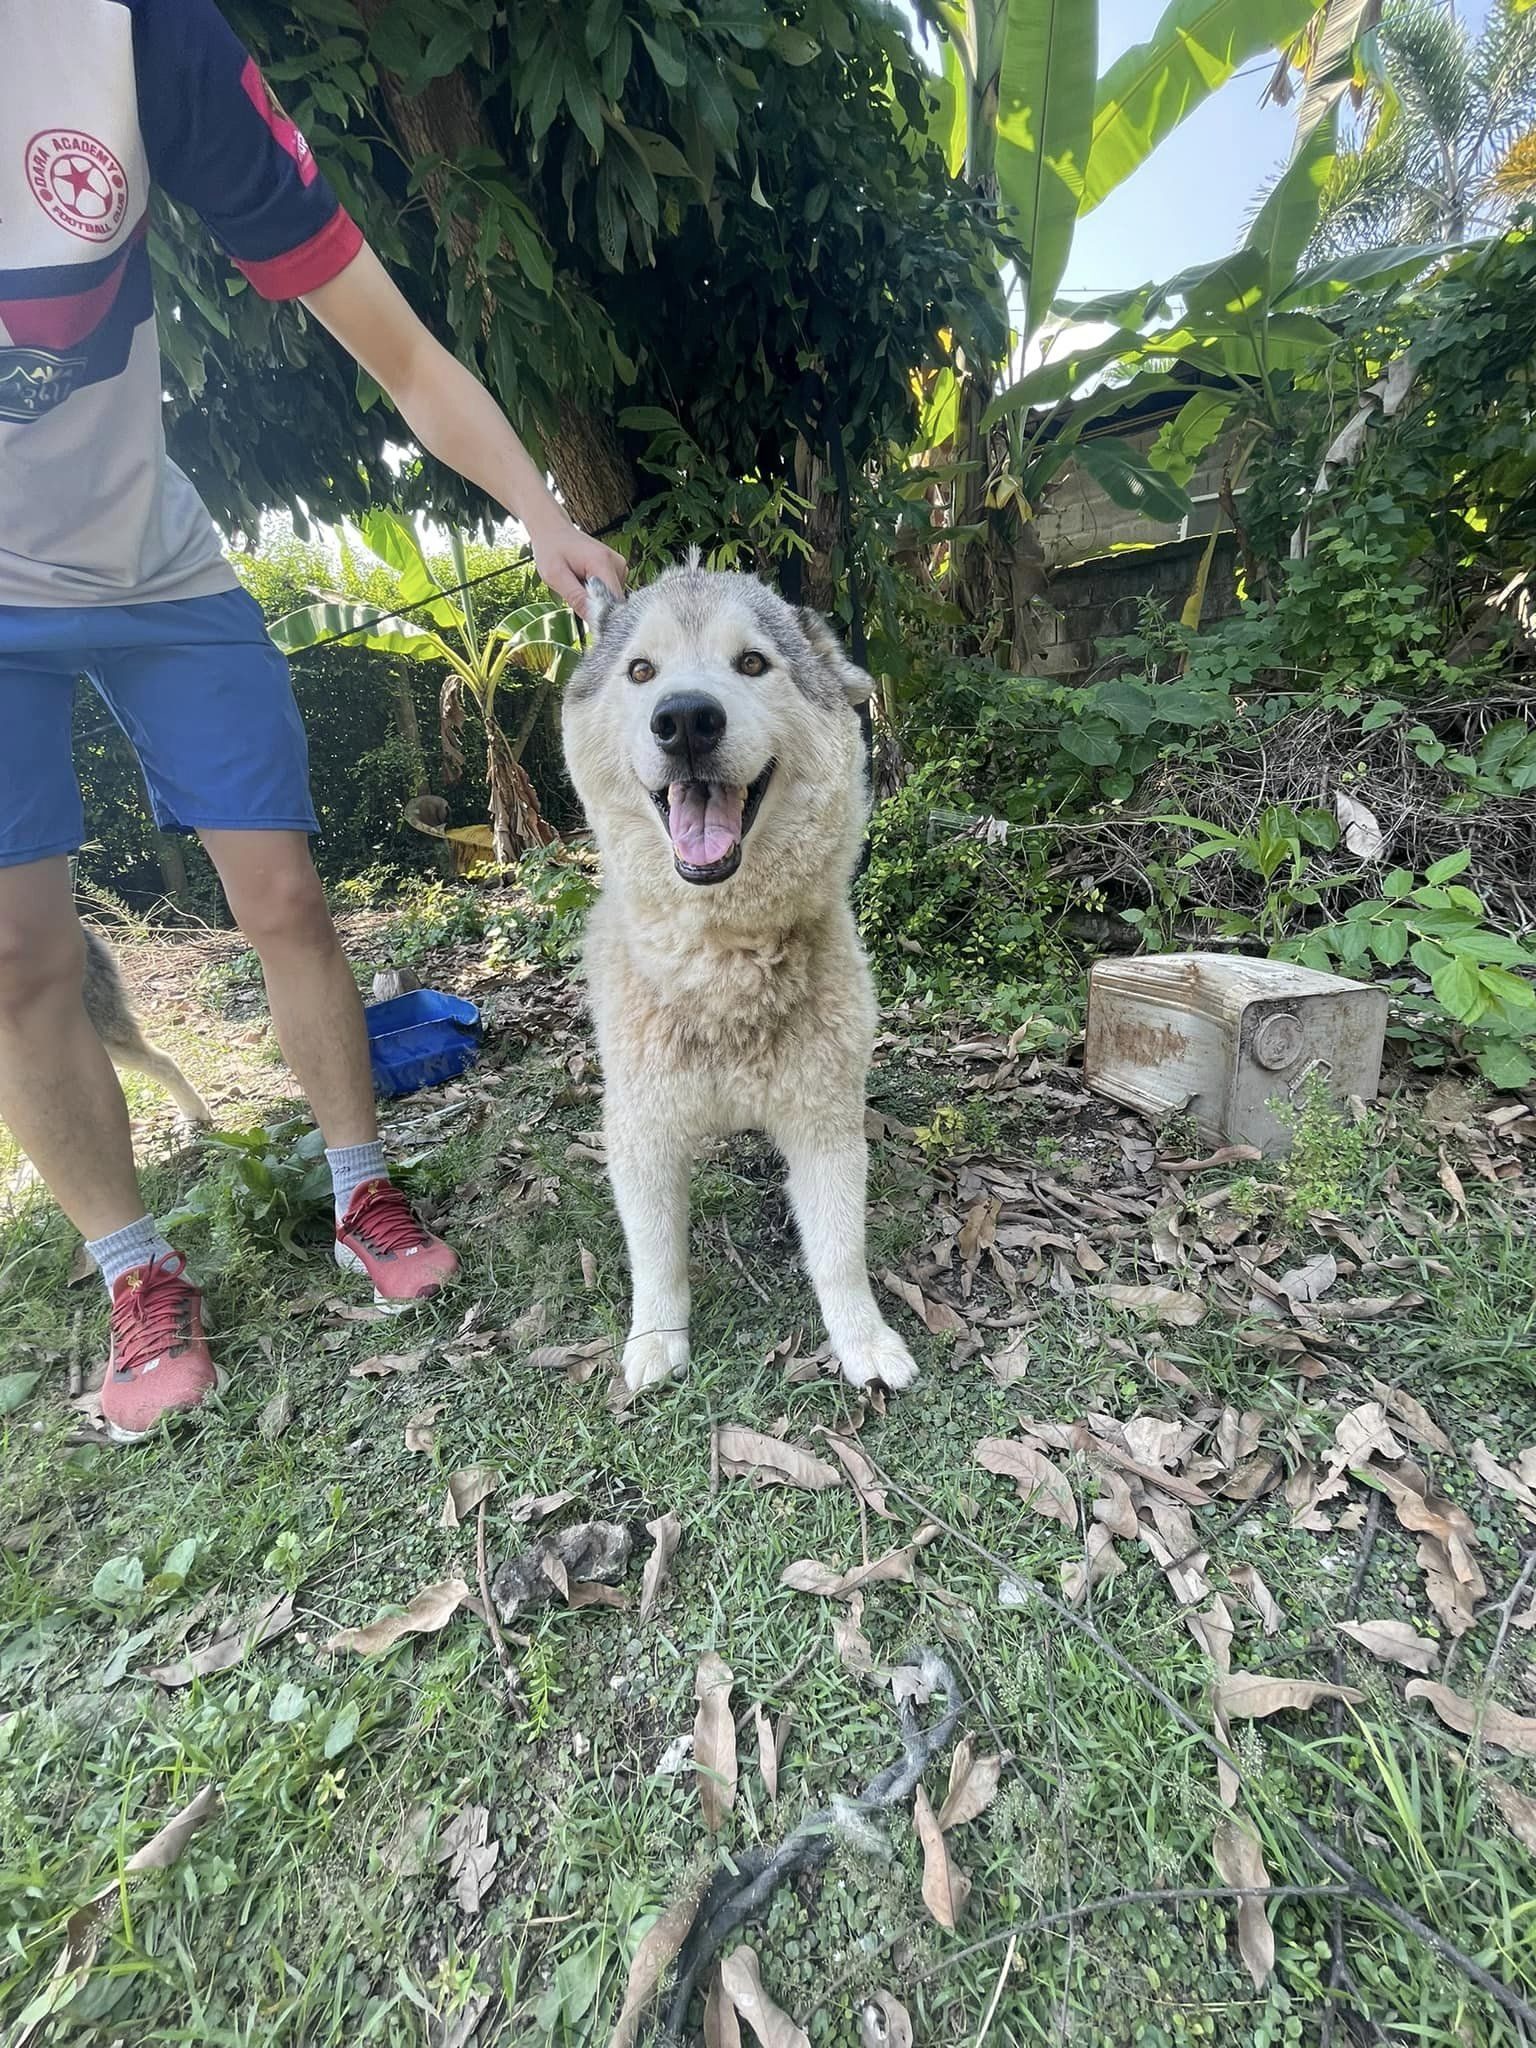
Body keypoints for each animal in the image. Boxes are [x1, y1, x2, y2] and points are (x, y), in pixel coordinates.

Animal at [561, 556, 917, 1396]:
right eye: (642, 671)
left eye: (752, 663)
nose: (686, 718)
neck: (722, 960)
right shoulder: (642, 1132)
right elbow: (656, 1256)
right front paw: (657, 1339)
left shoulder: (824, 1125)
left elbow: (840, 1252)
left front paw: (863, 1338)